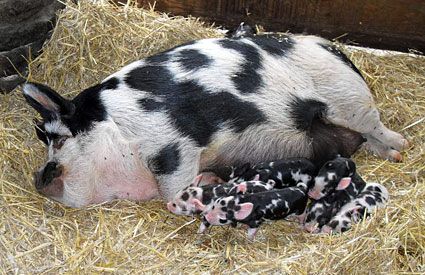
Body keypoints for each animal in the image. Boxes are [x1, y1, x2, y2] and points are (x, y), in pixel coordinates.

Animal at [21, 34, 406, 207]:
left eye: (59, 139)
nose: (40, 175)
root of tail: (340, 53)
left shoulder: (174, 146)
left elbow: (174, 193)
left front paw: (205, 186)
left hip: (350, 100)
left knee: (380, 129)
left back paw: (399, 151)